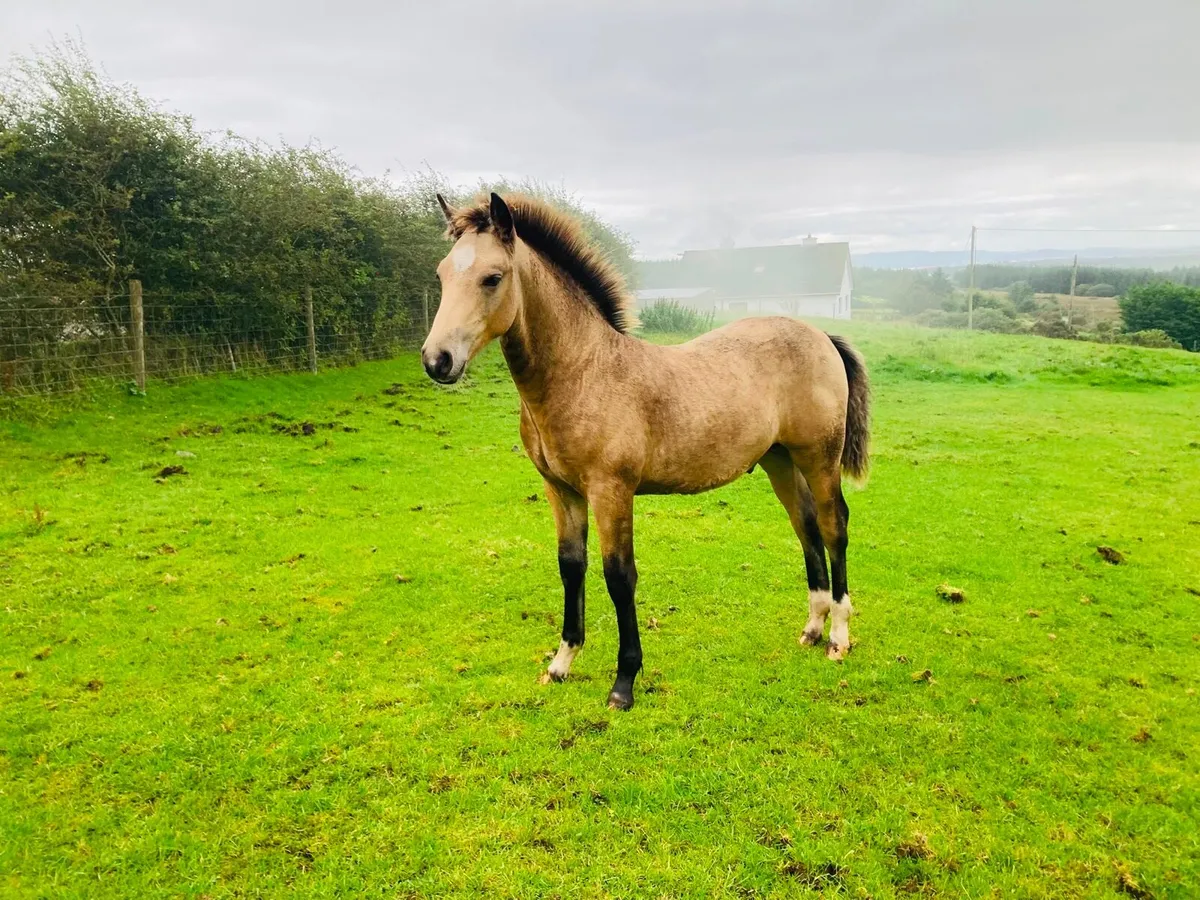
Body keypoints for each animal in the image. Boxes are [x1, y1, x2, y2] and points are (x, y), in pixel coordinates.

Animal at [422, 192, 870, 710]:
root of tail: (821, 336)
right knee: (806, 526)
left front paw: (623, 683)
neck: (583, 372)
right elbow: (571, 567)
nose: (437, 361)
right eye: (442, 274)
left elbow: (619, 576)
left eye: (492, 277)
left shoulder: (611, 490)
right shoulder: (560, 490)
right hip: (779, 460)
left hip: (820, 457)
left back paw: (838, 637)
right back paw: (813, 628)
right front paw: (561, 663)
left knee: (834, 526)